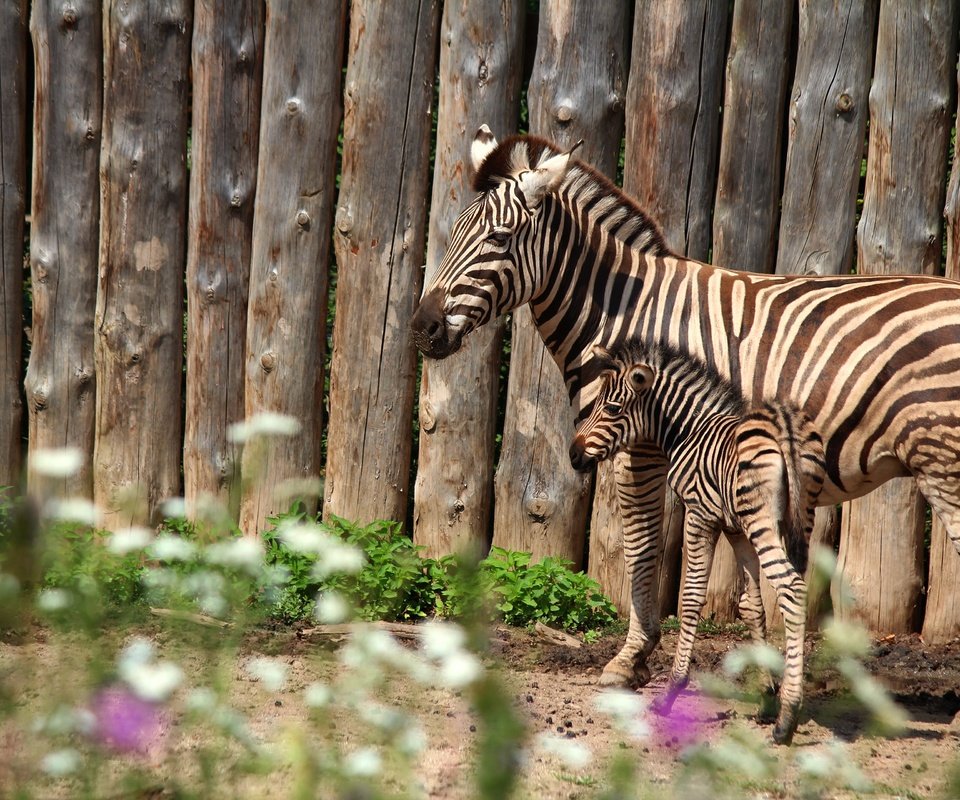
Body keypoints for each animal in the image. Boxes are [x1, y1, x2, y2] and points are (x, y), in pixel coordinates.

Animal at [414, 123, 960, 692]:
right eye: (453, 234)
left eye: (498, 240)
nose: (422, 329)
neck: (620, 311)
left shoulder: (638, 443)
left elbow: (640, 545)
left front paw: (631, 657)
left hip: (943, 458)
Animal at [568, 340, 824, 744]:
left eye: (611, 409)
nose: (574, 455)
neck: (691, 430)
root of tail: (782, 424)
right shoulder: (736, 530)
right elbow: (753, 606)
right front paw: (765, 696)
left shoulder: (700, 513)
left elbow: (690, 598)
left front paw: (672, 690)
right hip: (799, 515)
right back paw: (783, 707)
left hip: (763, 523)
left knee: (792, 589)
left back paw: (788, 719)